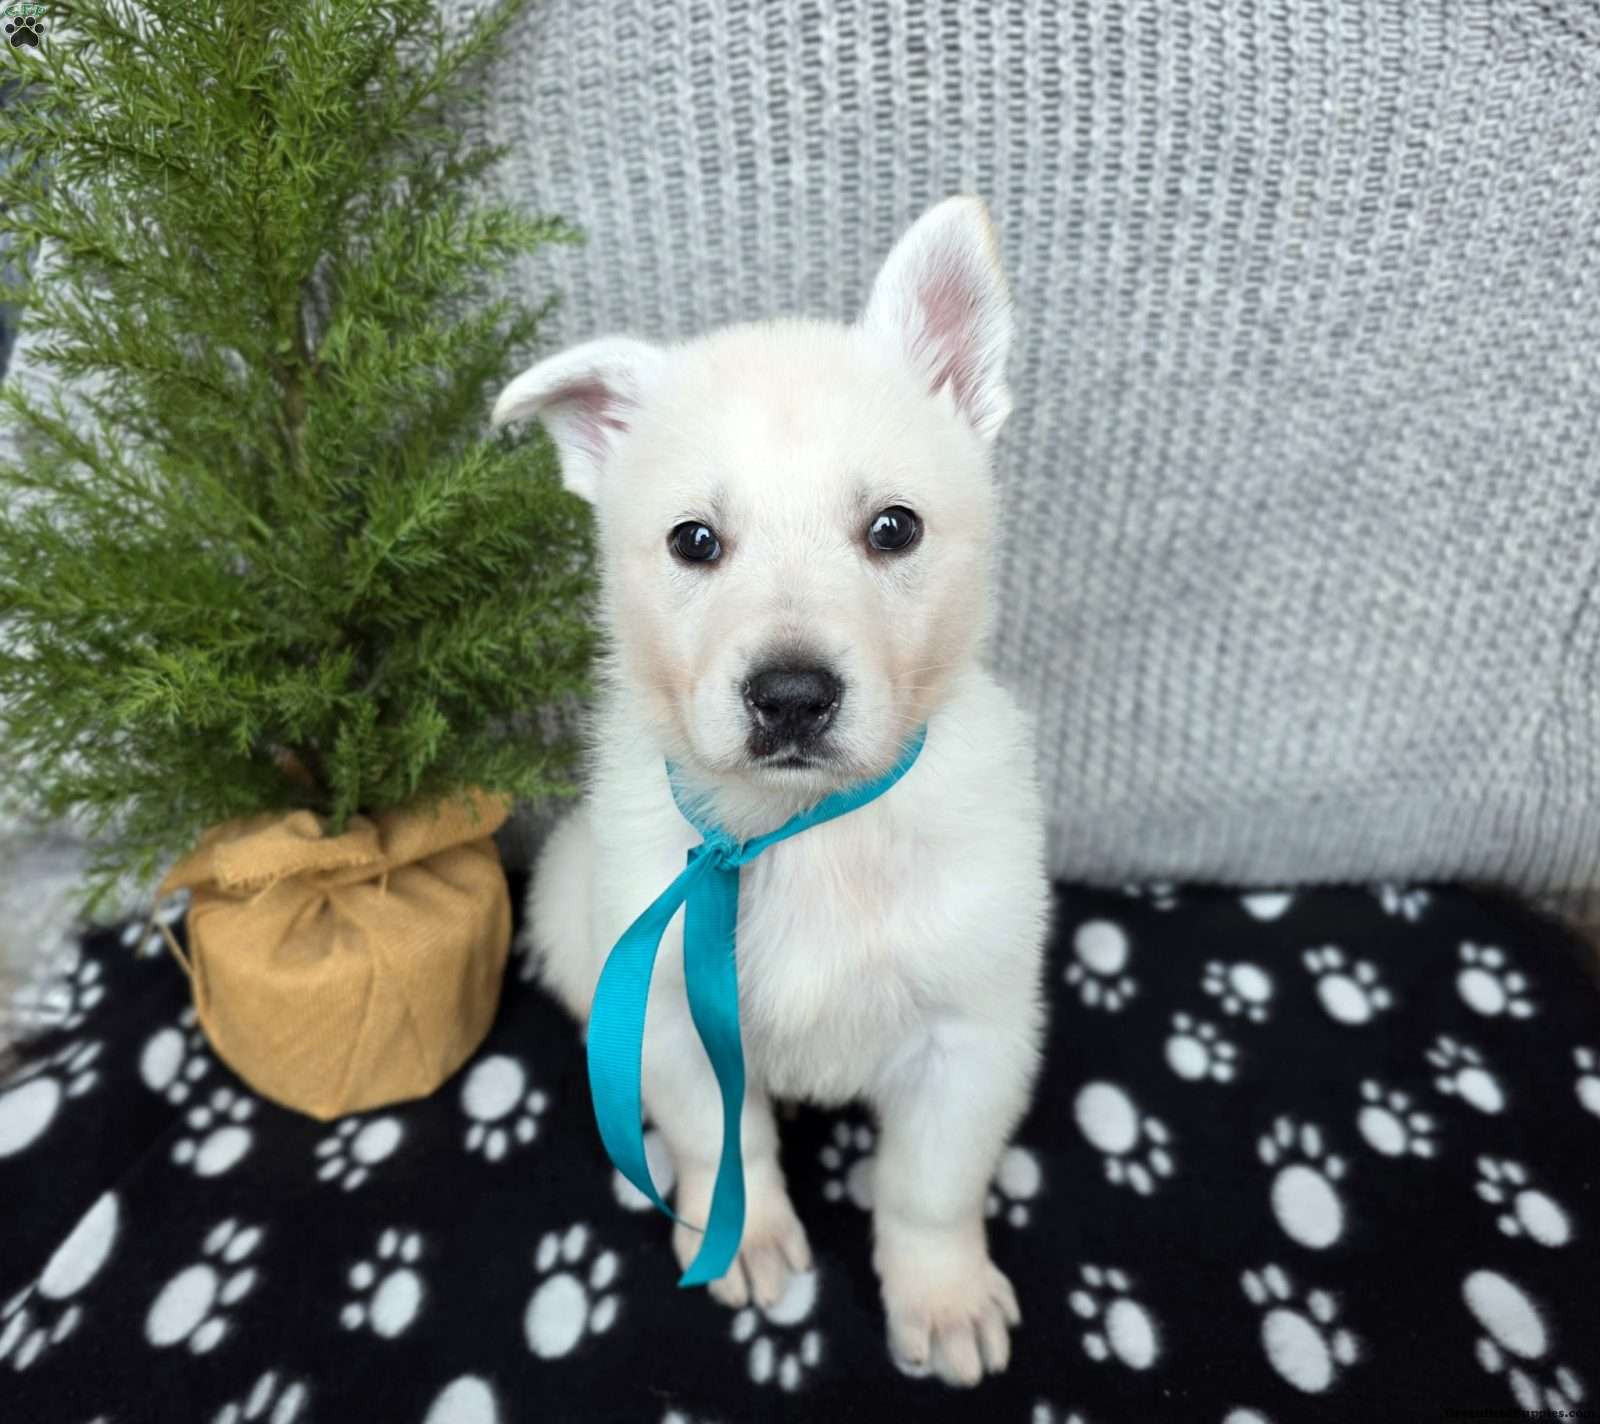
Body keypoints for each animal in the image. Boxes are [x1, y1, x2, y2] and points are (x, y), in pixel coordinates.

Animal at [491, 196, 1051, 1387]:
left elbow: (930, 1187)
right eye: (694, 540)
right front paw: (739, 1237)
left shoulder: (971, 1034)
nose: (791, 697)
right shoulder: (669, 1015)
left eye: (894, 527)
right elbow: (722, 1141)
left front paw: (940, 1297)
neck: (804, 835)